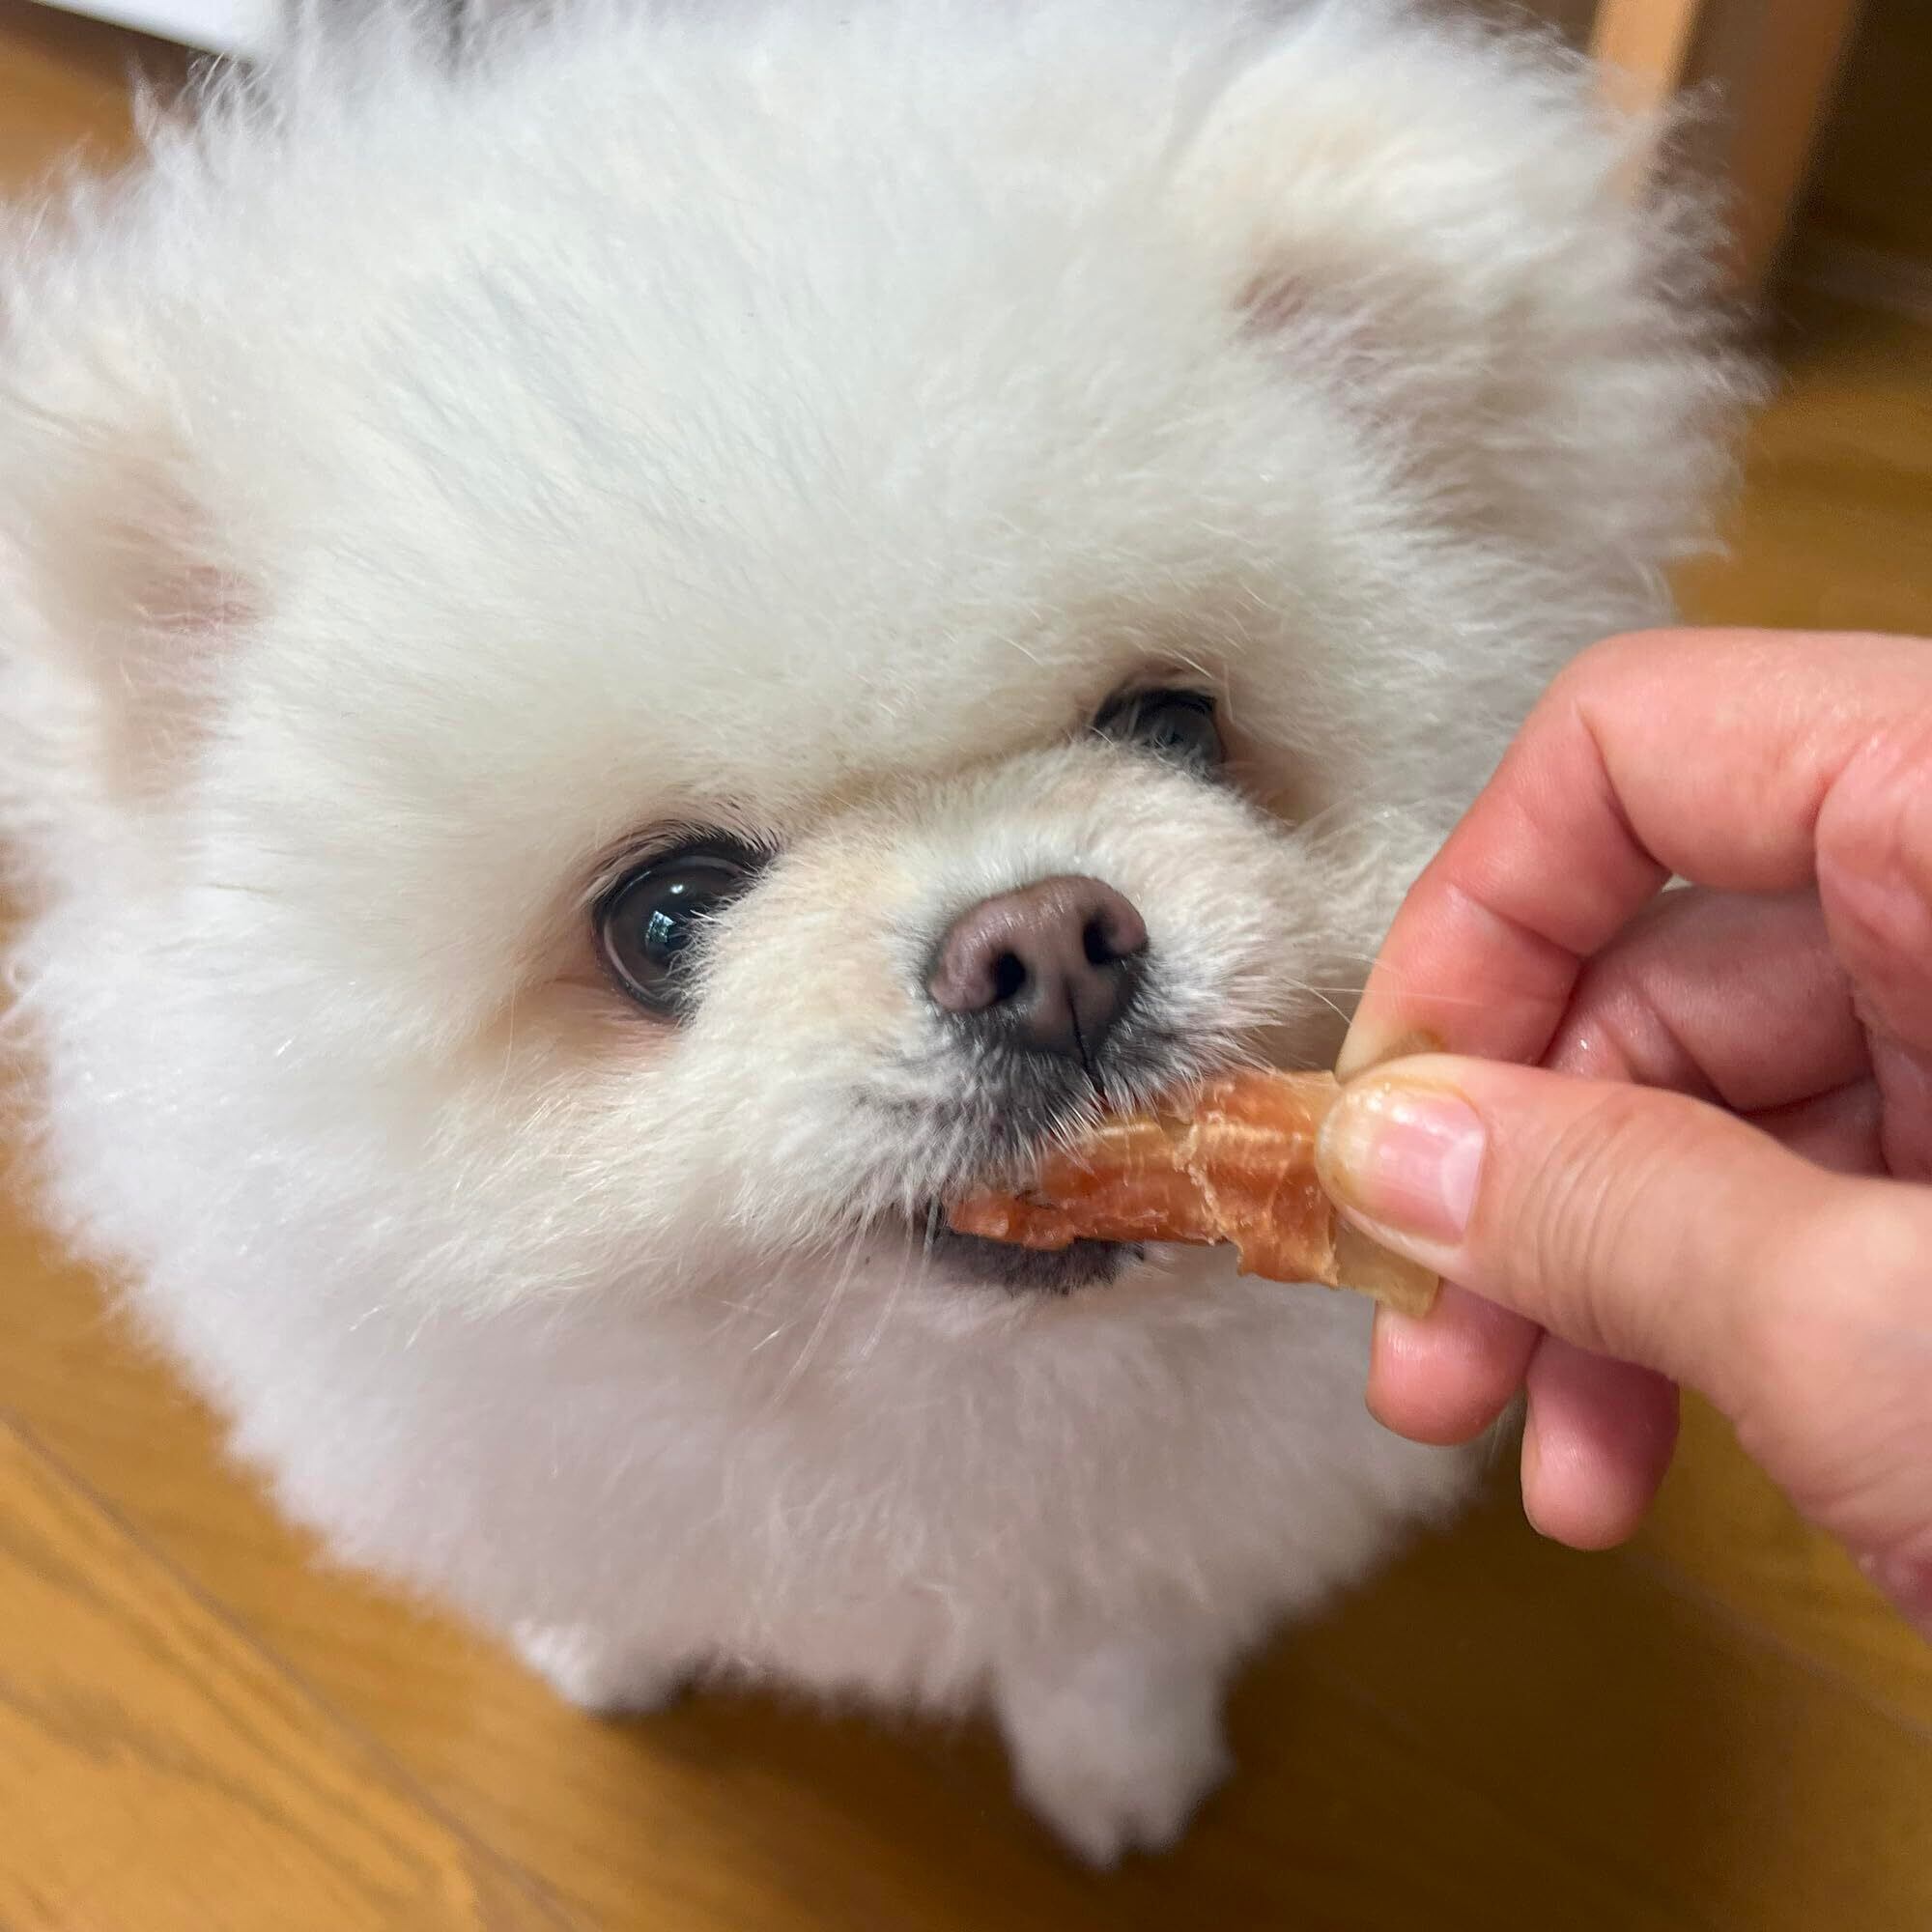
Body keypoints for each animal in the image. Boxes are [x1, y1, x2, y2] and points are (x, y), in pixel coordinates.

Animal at [0, 0, 1733, 1862]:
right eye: (663, 916)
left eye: (1175, 727)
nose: (1047, 946)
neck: (933, 1413)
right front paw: (603, 1649)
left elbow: (1114, 1645)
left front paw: (1120, 1779)